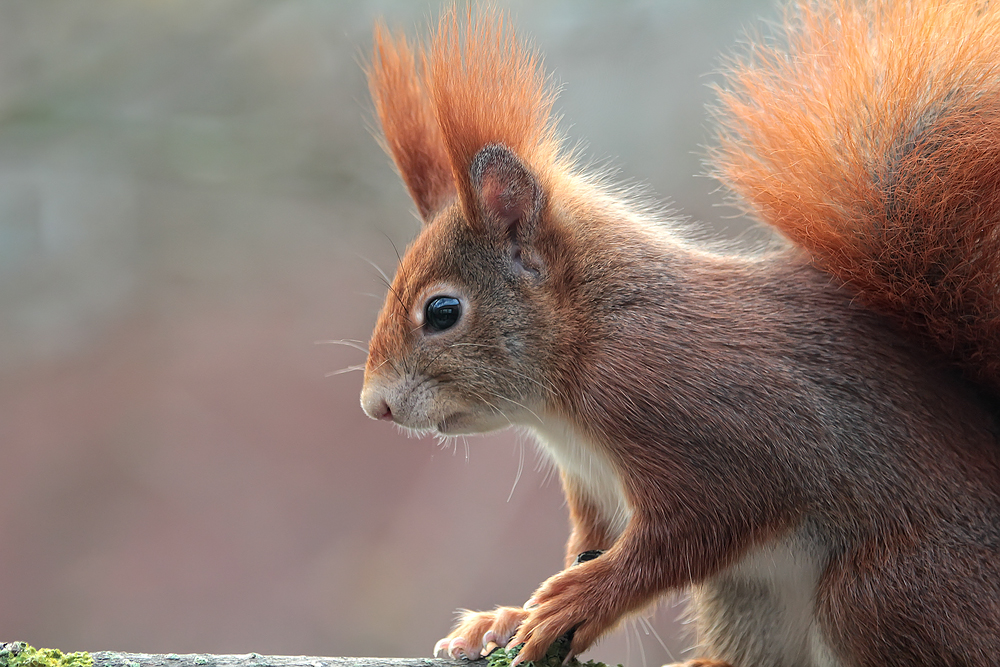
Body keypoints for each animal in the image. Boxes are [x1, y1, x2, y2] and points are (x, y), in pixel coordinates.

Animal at [360, 2, 1000, 664]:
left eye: (442, 311)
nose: (374, 404)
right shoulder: (596, 492)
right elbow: (592, 543)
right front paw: (504, 617)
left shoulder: (697, 423)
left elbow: (700, 528)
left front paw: (580, 600)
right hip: (750, 598)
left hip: (882, 592)